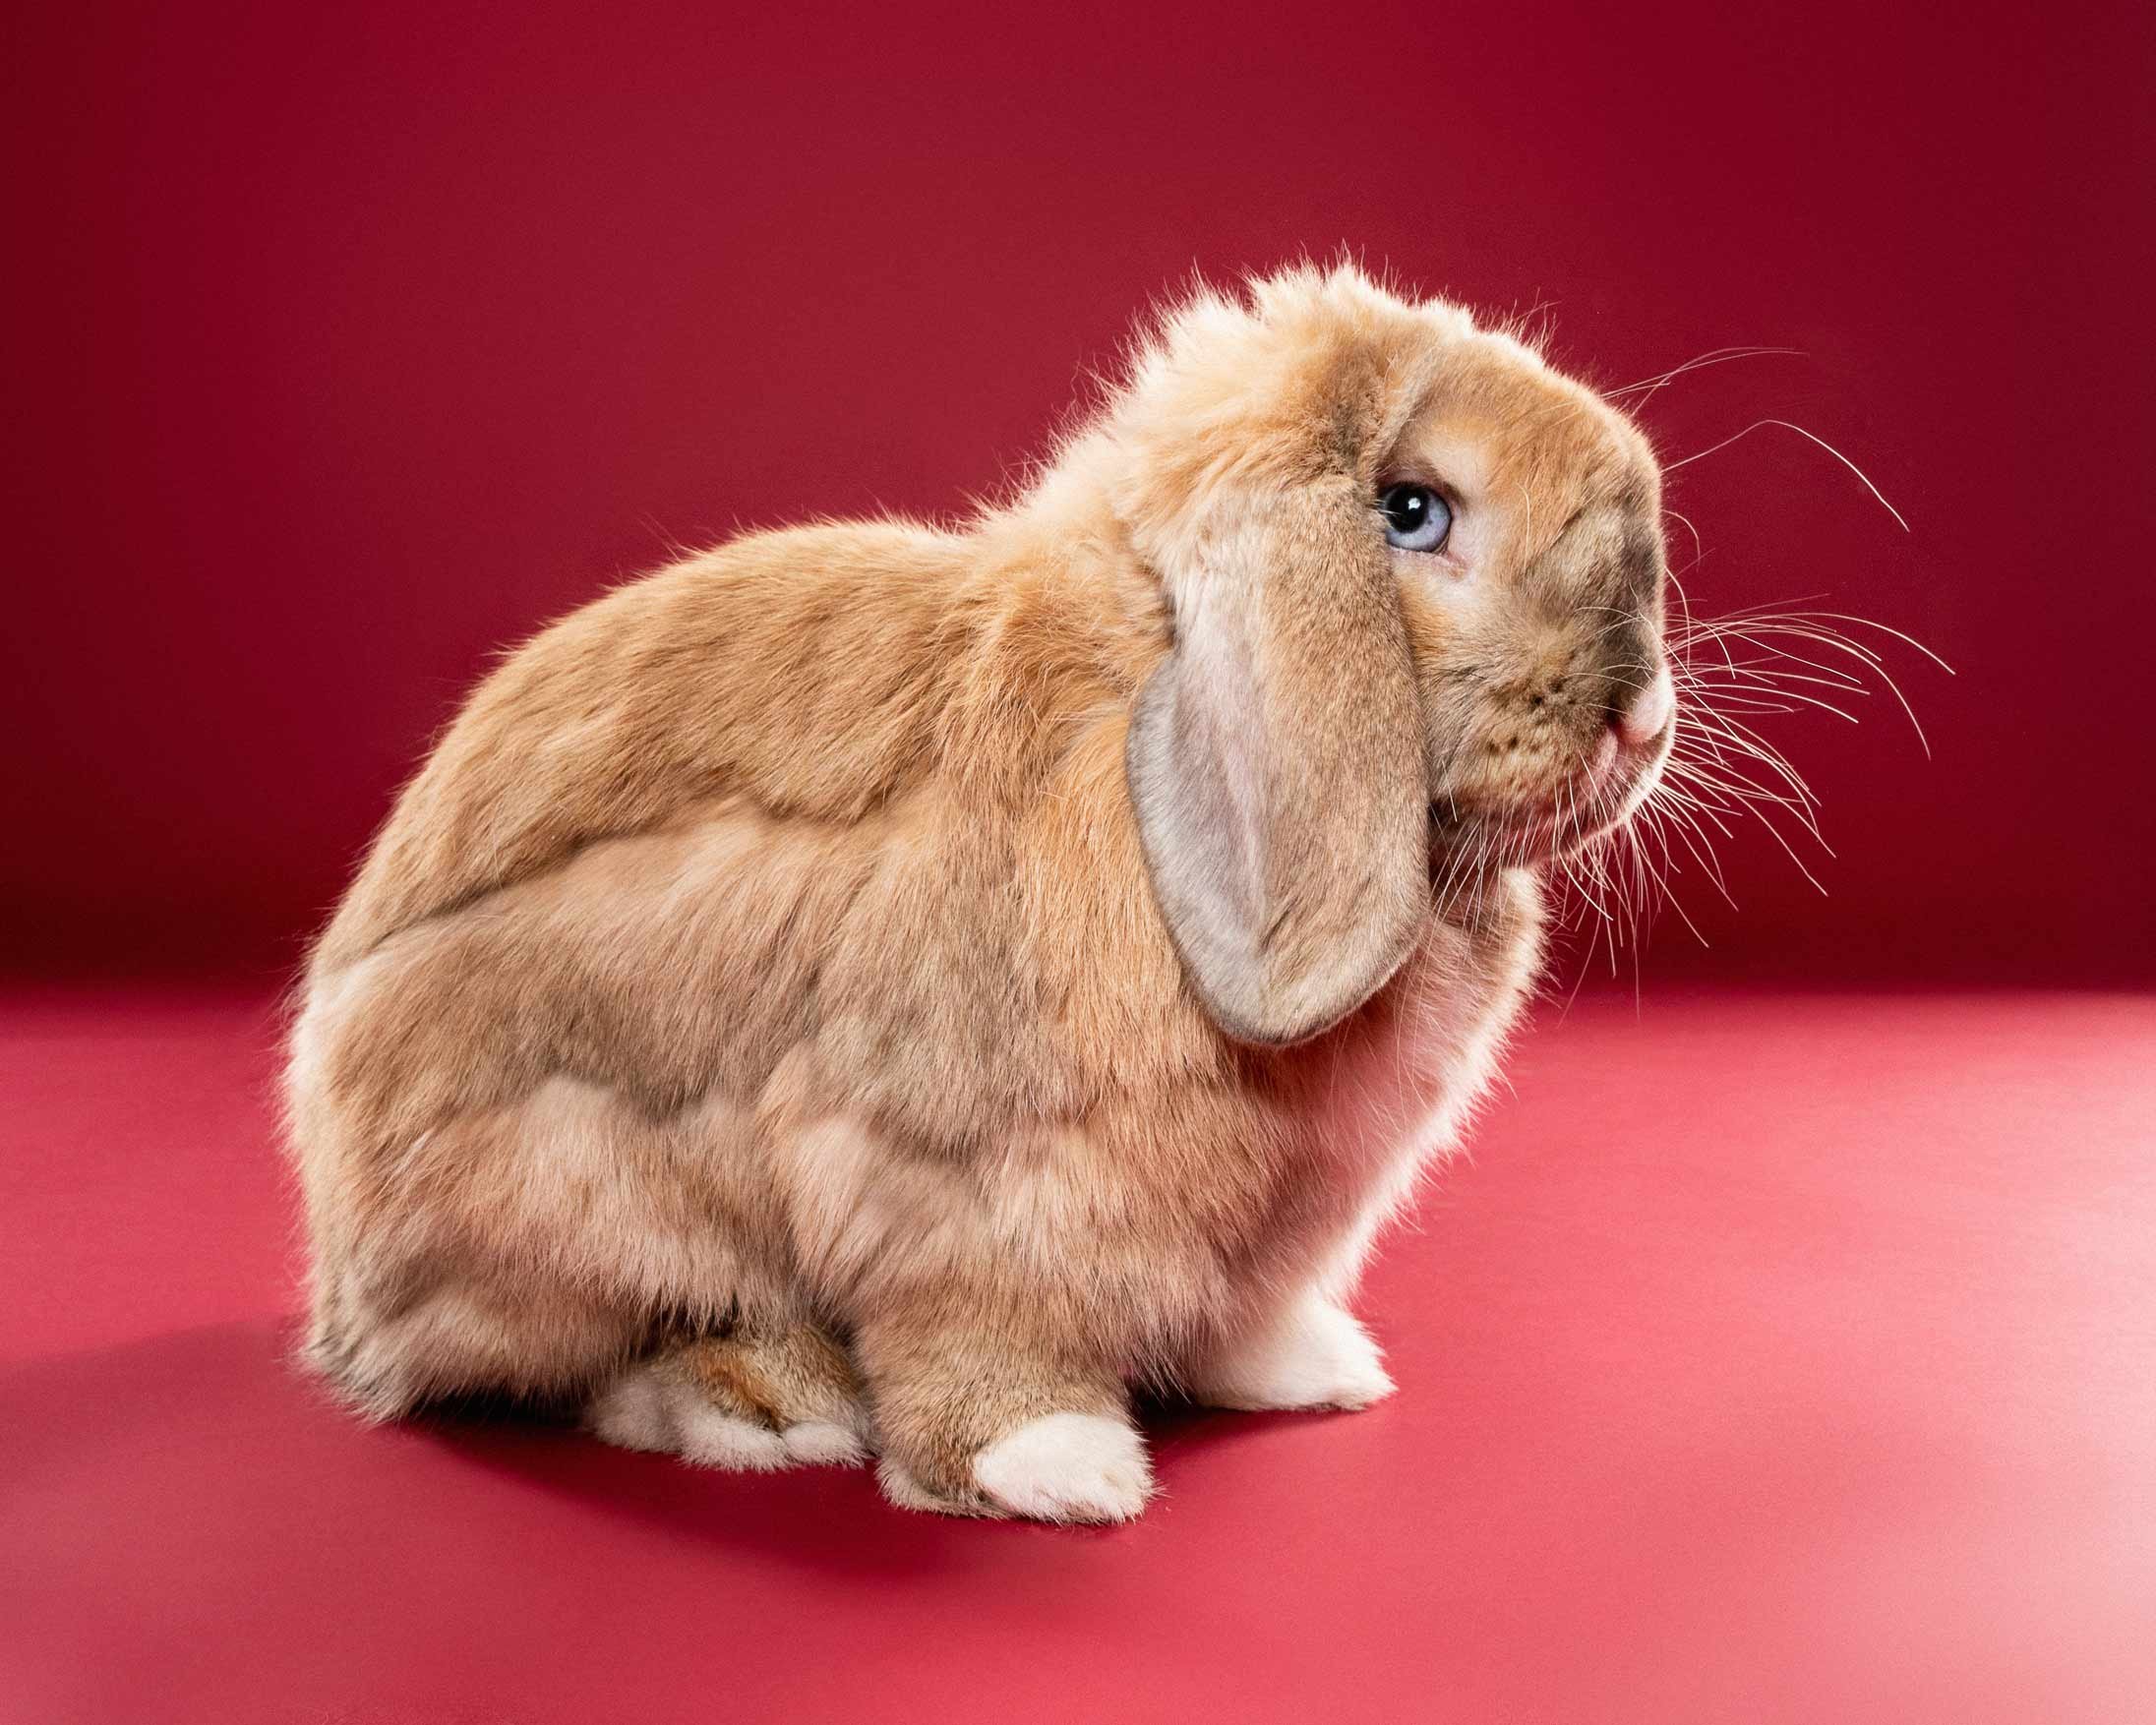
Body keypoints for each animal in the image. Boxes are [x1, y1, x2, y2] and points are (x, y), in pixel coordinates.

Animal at [284, 261, 1678, 1522]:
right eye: (1410, 510)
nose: (1642, 714)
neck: (1132, 688)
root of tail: (339, 1279)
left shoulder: (1259, 1225)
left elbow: (1232, 1304)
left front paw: (1302, 1367)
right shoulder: (956, 1187)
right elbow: (976, 1331)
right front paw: (1055, 1464)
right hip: (566, 1159)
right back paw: (770, 1405)